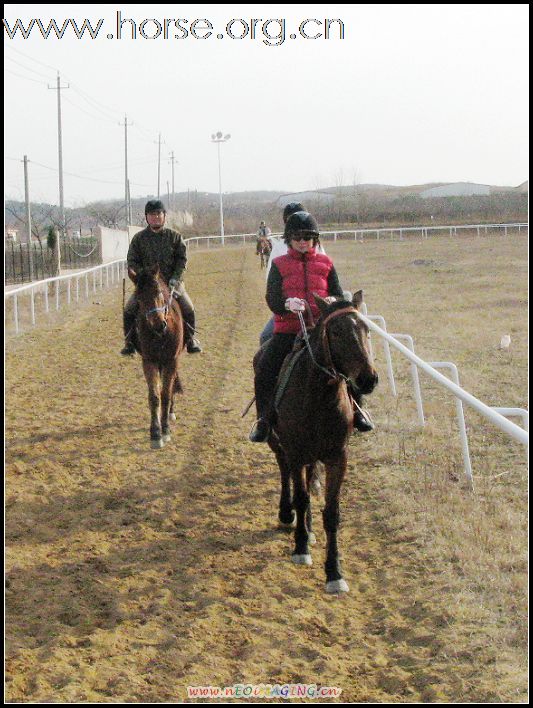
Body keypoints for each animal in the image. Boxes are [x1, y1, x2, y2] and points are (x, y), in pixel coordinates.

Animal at [128, 266, 185, 448]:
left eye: (159, 292)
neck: (161, 335)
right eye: (139, 298)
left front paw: (165, 429)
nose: (159, 325)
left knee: (171, 387)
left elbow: (166, 393)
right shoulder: (149, 361)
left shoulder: (171, 360)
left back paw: (171, 413)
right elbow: (154, 396)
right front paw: (155, 433)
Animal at [255, 290, 376, 596]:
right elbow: (301, 497)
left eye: (366, 328)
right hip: (278, 443)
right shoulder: (296, 452)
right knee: (285, 472)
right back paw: (288, 514)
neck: (320, 396)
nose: (368, 379)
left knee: (309, 481)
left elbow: (331, 513)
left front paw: (334, 572)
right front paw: (300, 547)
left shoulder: (337, 457)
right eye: (336, 331)